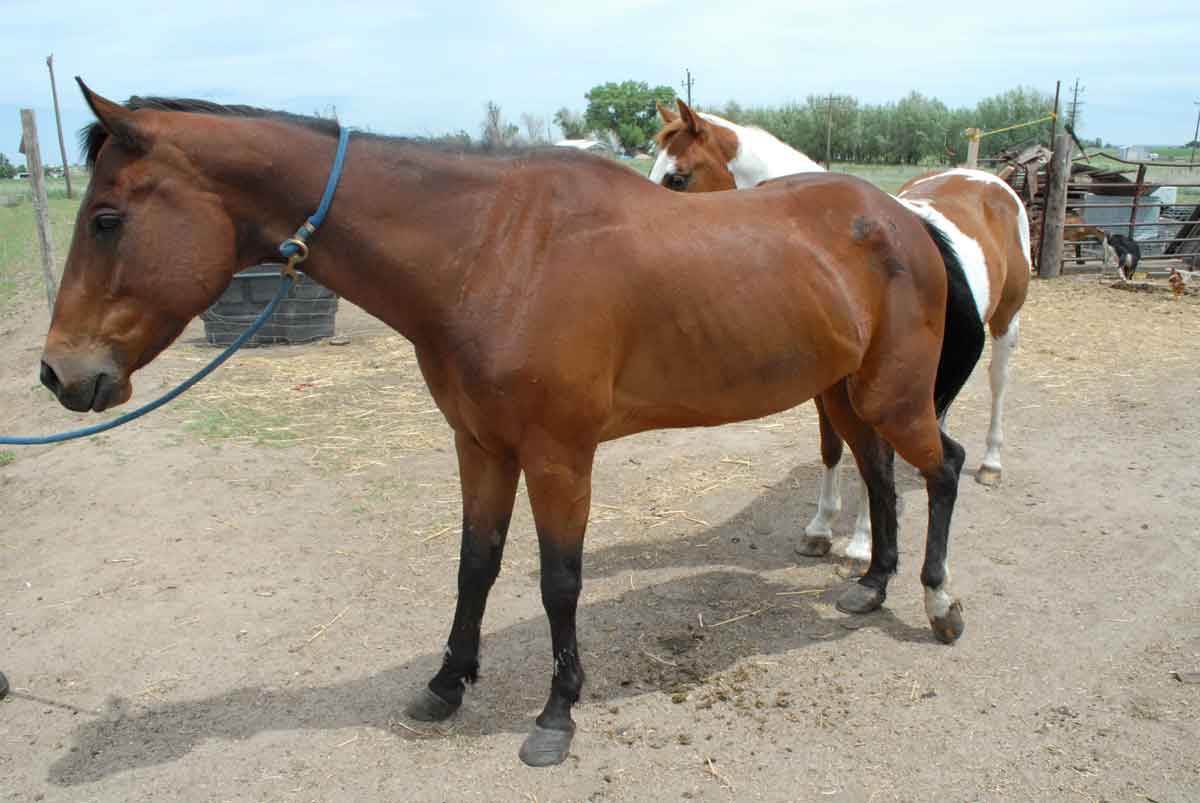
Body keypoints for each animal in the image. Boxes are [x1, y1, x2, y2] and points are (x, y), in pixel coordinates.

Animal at [42, 81, 988, 763]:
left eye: (108, 219)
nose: (60, 373)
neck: (491, 250)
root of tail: (905, 216)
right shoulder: (481, 446)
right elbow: (476, 566)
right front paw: (446, 684)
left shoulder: (559, 456)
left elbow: (557, 581)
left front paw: (556, 714)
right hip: (848, 394)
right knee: (878, 475)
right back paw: (873, 585)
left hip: (891, 396)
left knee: (941, 466)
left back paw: (939, 601)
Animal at [652, 100, 1027, 561]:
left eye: (678, 177)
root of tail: (990, 180)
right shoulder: (829, 380)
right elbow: (833, 447)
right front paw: (821, 527)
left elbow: (875, 457)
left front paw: (863, 544)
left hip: (1005, 320)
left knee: (998, 382)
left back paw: (991, 463)